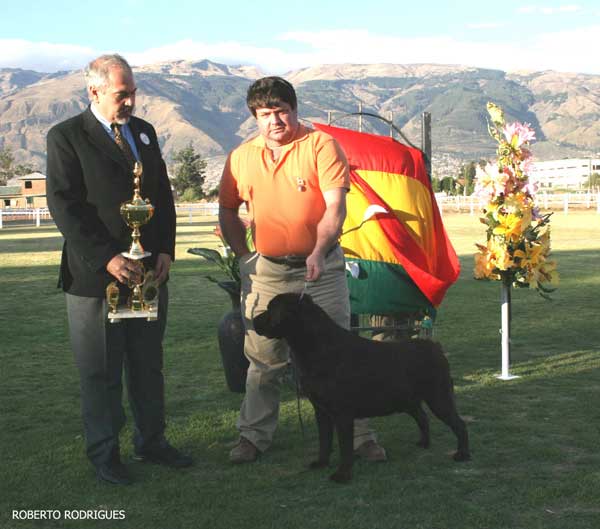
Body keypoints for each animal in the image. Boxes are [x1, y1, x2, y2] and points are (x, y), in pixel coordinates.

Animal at [253, 292, 471, 483]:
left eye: (272, 309)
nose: (253, 320)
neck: (319, 347)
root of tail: (435, 346)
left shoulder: (342, 413)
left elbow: (345, 446)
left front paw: (342, 475)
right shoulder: (321, 411)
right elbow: (324, 441)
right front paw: (321, 463)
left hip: (439, 398)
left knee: (459, 424)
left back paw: (462, 454)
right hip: (409, 401)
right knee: (423, 418)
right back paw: (424, 443)